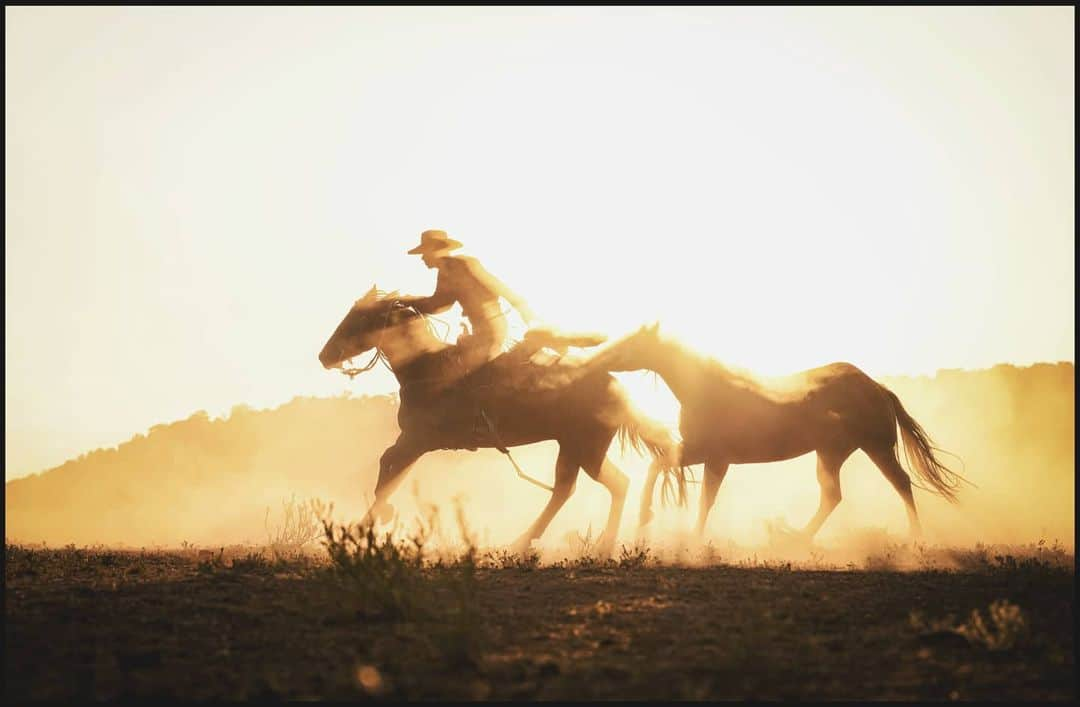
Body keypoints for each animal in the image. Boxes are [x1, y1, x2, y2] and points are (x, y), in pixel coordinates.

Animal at [315, 287, 678, 552]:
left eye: (357, 321)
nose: (323, 356)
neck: (426, 371)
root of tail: (614, 385)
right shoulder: (414, 442)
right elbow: (391, 473)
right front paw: (368, 523)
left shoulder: (418, 440)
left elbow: (387, 469)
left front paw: (372, 521)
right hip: (576, 448)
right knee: (583, 487)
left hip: (585, 448)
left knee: (599, 486)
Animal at [587, 325, 967, 541]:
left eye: (633, 342)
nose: (599, 355)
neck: (708, 389)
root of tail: (876, 388)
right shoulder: (698, 451)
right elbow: (660, 466)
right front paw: (645, 517)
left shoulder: (717, 459)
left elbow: (705, 498)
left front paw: (690, 540)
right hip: (833, 453)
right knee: (833, 496)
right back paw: (796, 538)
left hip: (873, 447)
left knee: (899, 484)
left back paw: (915, 541)